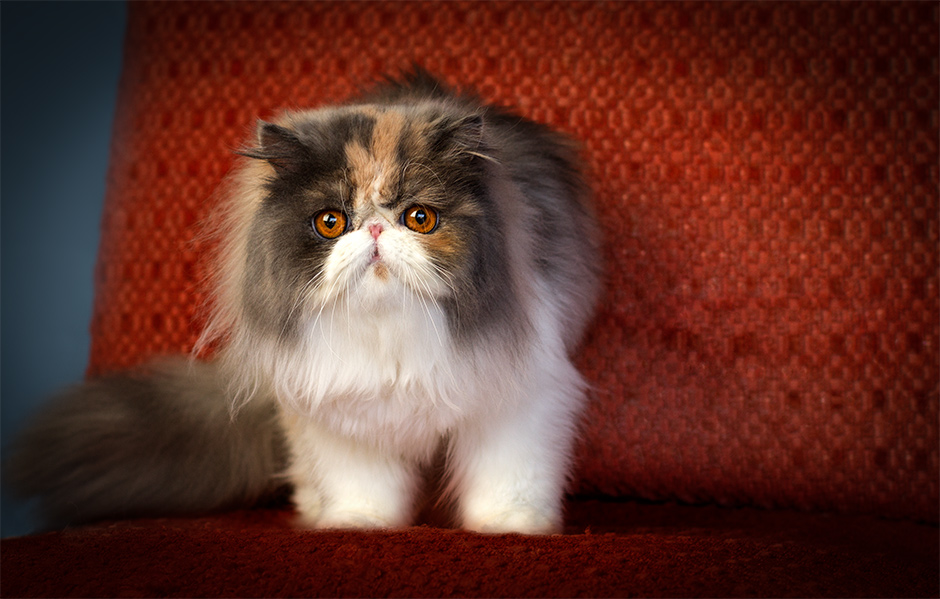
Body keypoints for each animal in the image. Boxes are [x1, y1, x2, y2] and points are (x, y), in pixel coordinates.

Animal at [3, 69, 604, 536]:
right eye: (332, 222)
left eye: (419, 218)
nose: (376, 230)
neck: (389, 330)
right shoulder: (345, 411)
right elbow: (364, 485)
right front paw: (357, 524)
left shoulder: (519, 400)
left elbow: (509, 477)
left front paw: (511, 528)